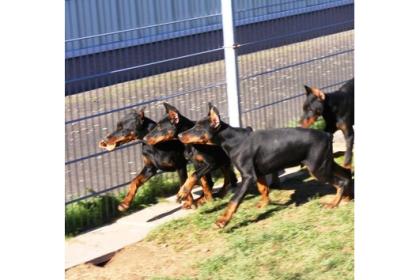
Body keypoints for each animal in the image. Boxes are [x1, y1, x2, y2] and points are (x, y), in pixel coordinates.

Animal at [176, 103, 352, 228]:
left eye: (198, 128)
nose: (179, 135)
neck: (233, 140)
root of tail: (327, 135)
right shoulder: (258, 172)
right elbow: (263, 188)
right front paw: (264, 203)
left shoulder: (247, 176)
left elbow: (234, 200)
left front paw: (222, 221)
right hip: (325, 163)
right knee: (346, 174)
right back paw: (347, 198)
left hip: (317, 168)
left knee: (340, 182)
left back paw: (333, 203)